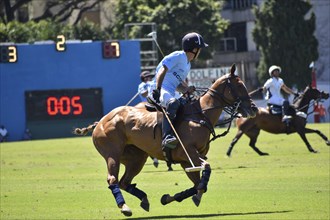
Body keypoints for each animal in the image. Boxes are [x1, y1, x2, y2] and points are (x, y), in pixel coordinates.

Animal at [74, 64, 258, 217]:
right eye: (239, 85)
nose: (254, 108)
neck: (200, 115)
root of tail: (101, 121)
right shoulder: (188, 152)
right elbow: (205, 170)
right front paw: (197, 194)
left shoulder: (186, 161)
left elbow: (197, 184)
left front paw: (169, 197)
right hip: (113, 154)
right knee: (113, 179)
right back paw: (125, 207)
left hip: (136, 157)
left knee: (125, 181)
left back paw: (144, 199)